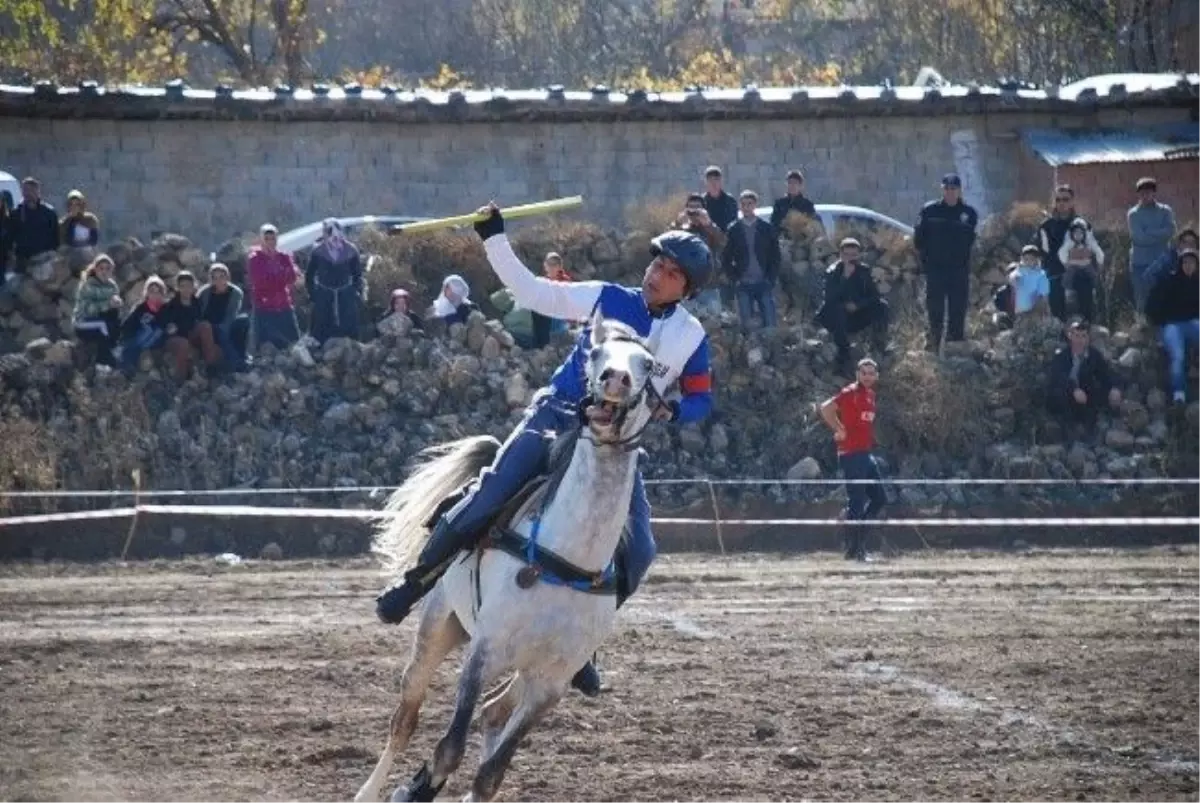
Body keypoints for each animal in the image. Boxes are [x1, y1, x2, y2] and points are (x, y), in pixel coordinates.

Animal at [350, 314, 662, 801]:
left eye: (647, 365)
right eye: (595, 353)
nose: (615, 380)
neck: (565, 554)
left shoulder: (550, 685)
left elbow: (490, 773)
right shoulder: (485, 652)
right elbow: (449, 750)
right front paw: (416, 788)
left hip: (519, 671)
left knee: (493, 713)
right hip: (437, 630)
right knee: (405, 719)